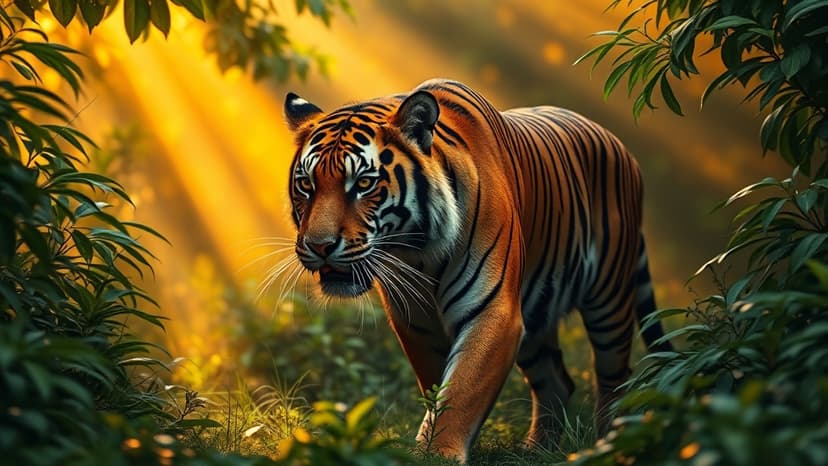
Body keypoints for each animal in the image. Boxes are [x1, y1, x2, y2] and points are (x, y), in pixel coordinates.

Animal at [282, 78, 672, 463]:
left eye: (363, 184)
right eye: (306, 184)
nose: (319, 246)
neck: (417, 253)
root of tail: (622, 148)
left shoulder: (494, 312)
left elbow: (461, 391)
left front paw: (437, 454)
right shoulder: (416, 322)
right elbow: (437, 386)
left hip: (609, 303)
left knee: (616, 381)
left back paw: (610, 445)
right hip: (536, 317)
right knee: (557, 381)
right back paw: (537, 450)